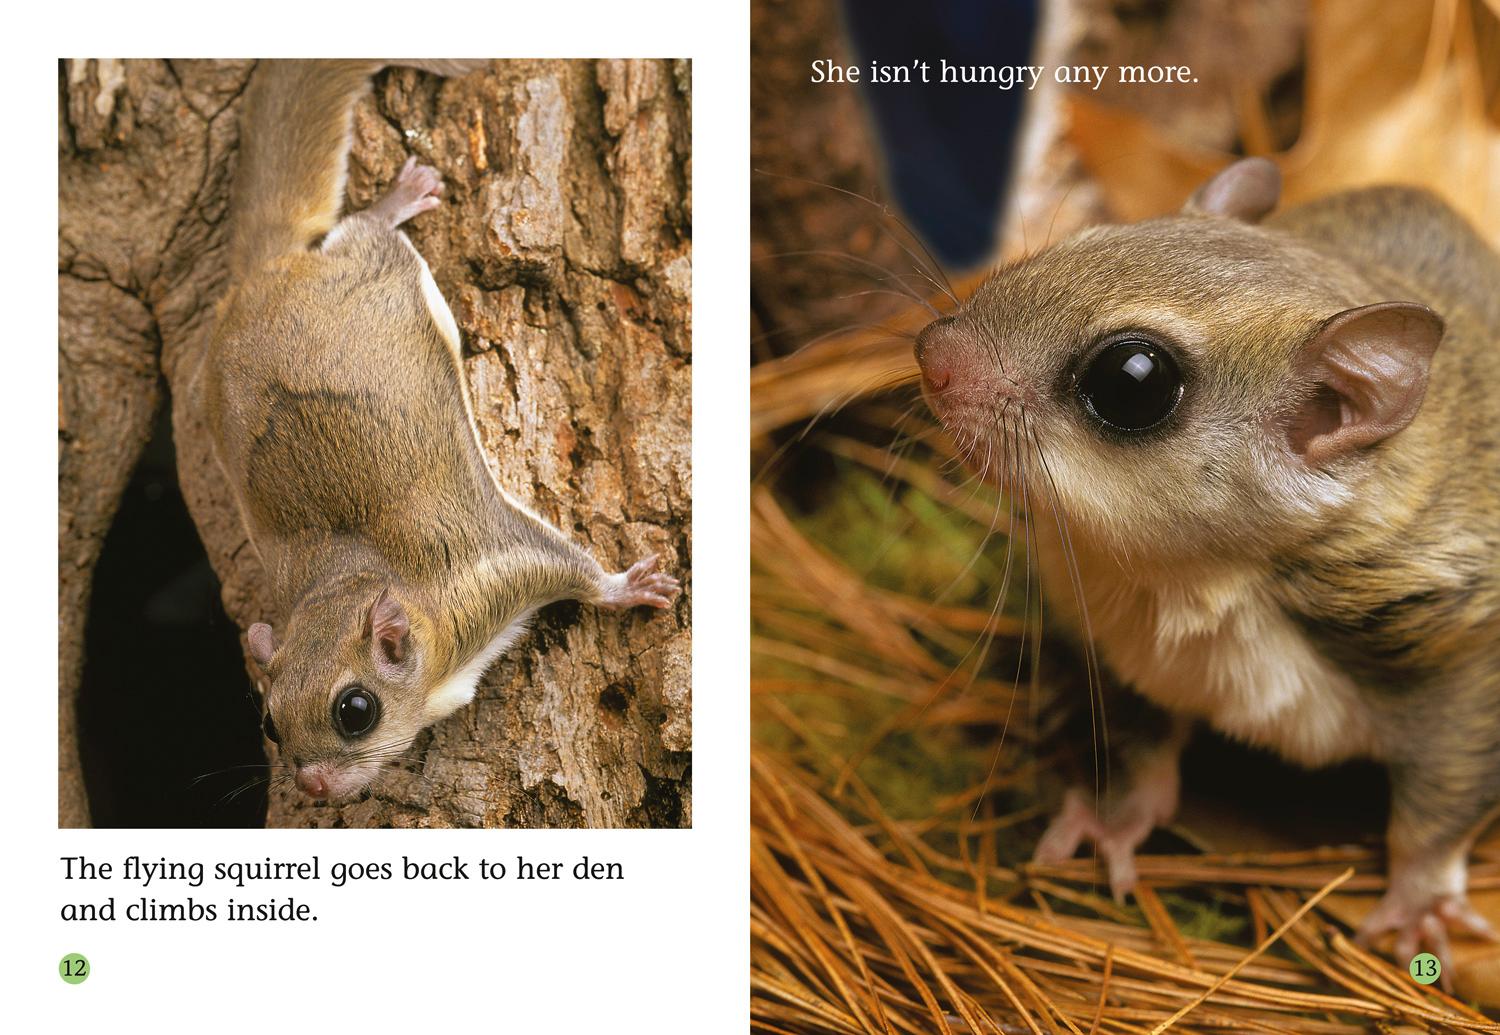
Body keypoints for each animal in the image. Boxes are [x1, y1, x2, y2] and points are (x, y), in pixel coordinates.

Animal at [204, 60, 680, 802]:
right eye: (270, 720)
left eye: (355, 710)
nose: (313, 788)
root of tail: (264, 273)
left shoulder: (498, 572)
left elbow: (576, 570)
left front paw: (627, 587)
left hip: (372, 264)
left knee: (365, 229)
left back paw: (397, 199)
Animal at [914, 157, 1499, 976]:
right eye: (1087, 238)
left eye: (1133, 380)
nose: (930, 354)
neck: (1194, 578)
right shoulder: (1133, 660)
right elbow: (1140, 754)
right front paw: (1114, 822)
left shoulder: (1453, 667)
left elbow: (1440, 807)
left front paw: (1418, 907)